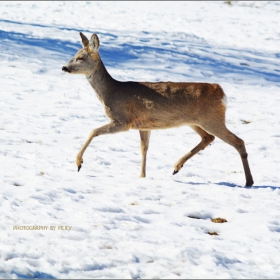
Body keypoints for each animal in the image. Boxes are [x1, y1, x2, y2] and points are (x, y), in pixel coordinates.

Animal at [62, 32, 255, 186]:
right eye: (74, 55)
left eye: (81, 57)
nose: (64, 67)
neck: (111, 92)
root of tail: (221, 93)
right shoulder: (143, 125)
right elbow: (144, 148)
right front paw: (142, 176)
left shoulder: (124, 120)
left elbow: (93, 131)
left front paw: (78, 163)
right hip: (195, 121)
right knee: (208, 138)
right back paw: (176, 167)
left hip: (212, 118)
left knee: (238, 141)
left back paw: (249, 181)